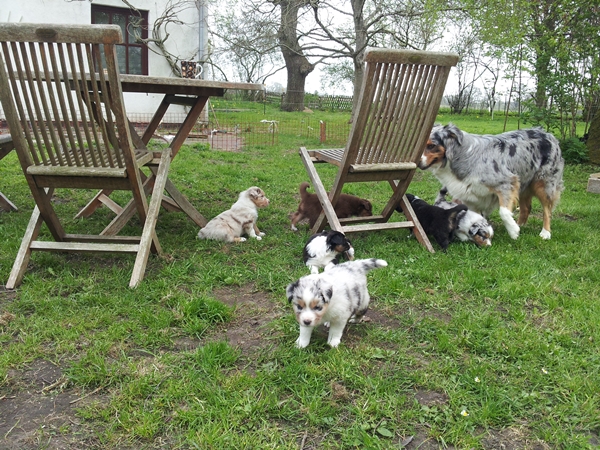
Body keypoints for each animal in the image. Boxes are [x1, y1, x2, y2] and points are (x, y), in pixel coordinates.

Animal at [420, 124, 564, 239]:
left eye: (431, 146)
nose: (417, 162)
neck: (460, 156)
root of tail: (547, 133)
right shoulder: (470, 196)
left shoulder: (507, 183)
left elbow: (504, 212)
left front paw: (513, 232)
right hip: (524, 182)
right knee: (526, 208)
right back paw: (520, 225)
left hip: (544, 184)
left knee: (547, 210)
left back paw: (545, 233)